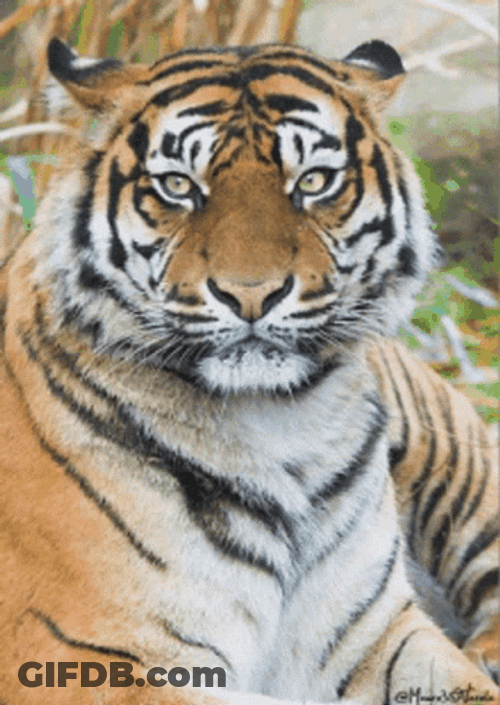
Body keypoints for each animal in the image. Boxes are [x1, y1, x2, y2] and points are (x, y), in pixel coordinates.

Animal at [0, 36, 498, 705]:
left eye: (312, 181)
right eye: (179, 186)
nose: (252, 294)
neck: (283, 423)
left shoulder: (376, 633)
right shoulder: (84, 654)